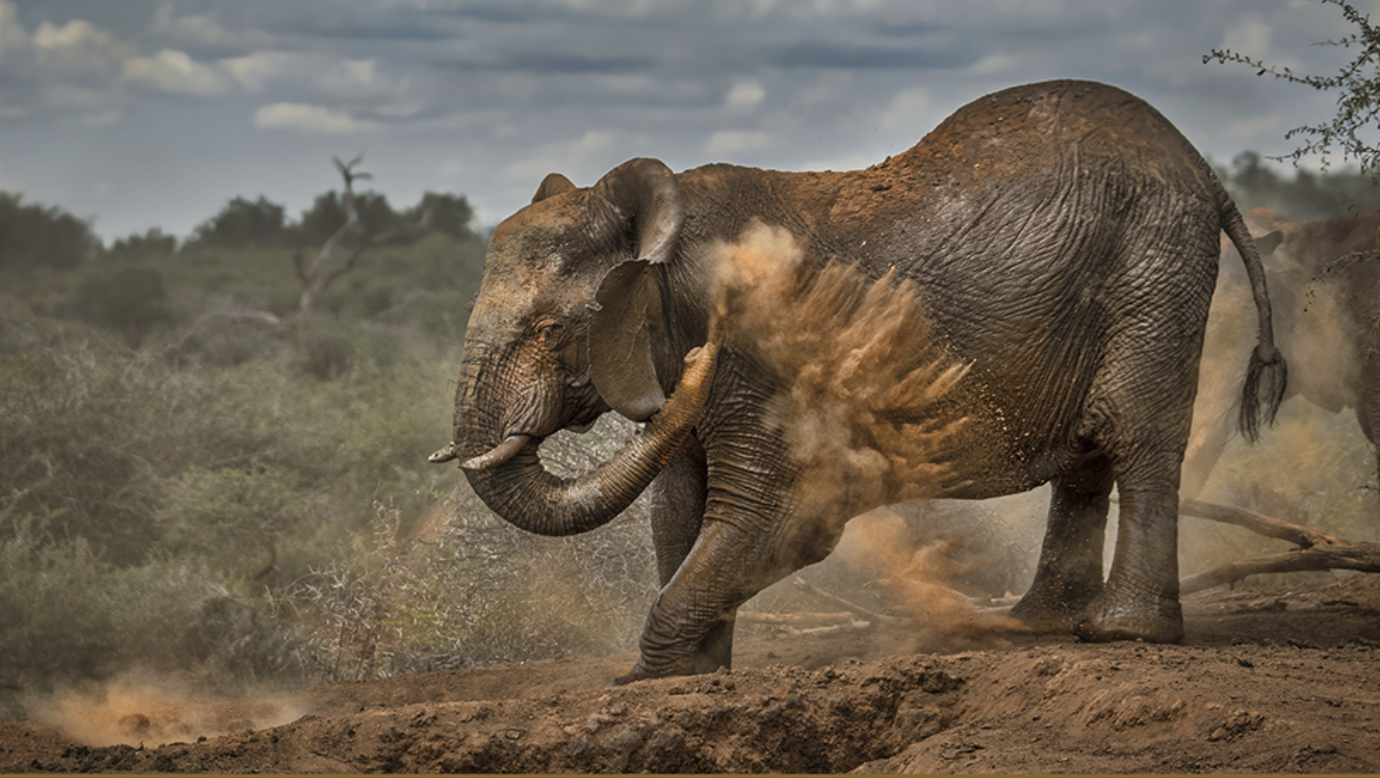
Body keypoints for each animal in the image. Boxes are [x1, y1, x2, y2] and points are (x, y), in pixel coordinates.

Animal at [432, 79, 1287, 683]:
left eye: (551, 330)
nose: (703, 363)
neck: (668, 230)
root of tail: (1201, 167)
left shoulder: (763, 347)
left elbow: (778, 514)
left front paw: (649, 676)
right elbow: (677, 512)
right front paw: (696, 674)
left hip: (1153, 267)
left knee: (1134, 435)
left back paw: (1118, 633)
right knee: (1088, 453)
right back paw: (1036, 624)